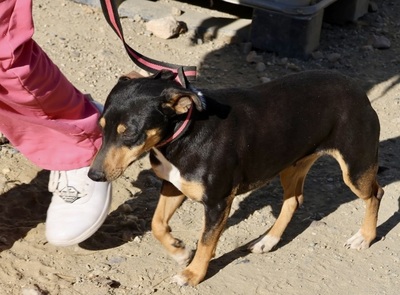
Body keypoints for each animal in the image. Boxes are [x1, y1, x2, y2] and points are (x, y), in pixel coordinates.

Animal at [88, 69, 384, 286]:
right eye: (101, 127)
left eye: (129, 133)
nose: (94, 175)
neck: (185, 132)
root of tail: (357, 89)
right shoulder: (174, 185)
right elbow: (157, 223)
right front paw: (179, 250)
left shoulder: (218, 202)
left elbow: (206, 242)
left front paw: (193, 274)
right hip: (291, 163)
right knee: (294, 200)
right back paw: (267, 241)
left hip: (355, 167)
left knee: (375, 194)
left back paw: (365, 237)